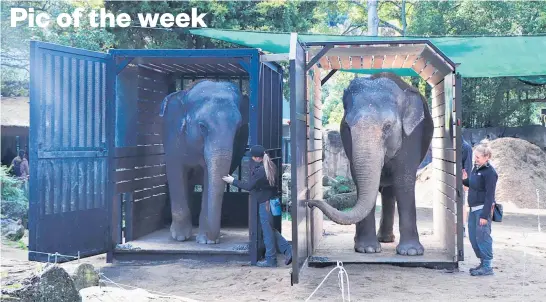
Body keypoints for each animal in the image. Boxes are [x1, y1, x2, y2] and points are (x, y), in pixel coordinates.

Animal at [158, 79, 250, 244]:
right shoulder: (173, 138)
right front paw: (180, 237)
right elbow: (175, 172)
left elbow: (209, 177)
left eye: (239, 128)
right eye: (202, 126)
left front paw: (207, 241)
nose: (214, 238)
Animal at [308, 72, 432, 256]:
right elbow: (359, 179)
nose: (309, 203)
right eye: (347, 125)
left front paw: (411, 252)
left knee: (390, 190)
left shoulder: (413, 135)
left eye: (387, 126)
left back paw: (386, 239)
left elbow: (404, 180)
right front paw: (367, 249)